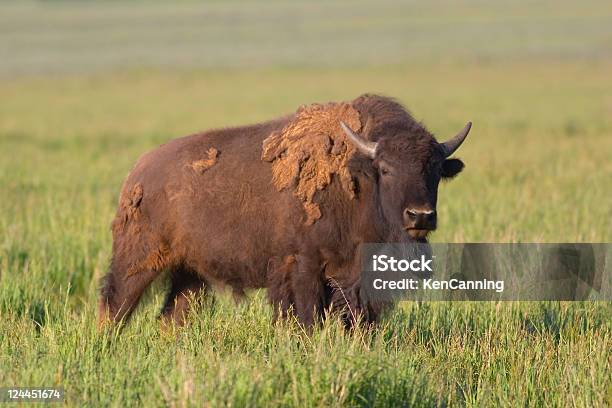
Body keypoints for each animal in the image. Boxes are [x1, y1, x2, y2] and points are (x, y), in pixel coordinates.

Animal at [98, 94, 470, 326]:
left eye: (435, 169)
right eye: (386, 168)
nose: (420, 216)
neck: (357, 177)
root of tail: (139, 172)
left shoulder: (354, 280)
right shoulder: (303, 270)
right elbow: (305, 319)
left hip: (191, 275)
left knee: (171, 316)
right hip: (137, 261)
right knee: (114, 307)